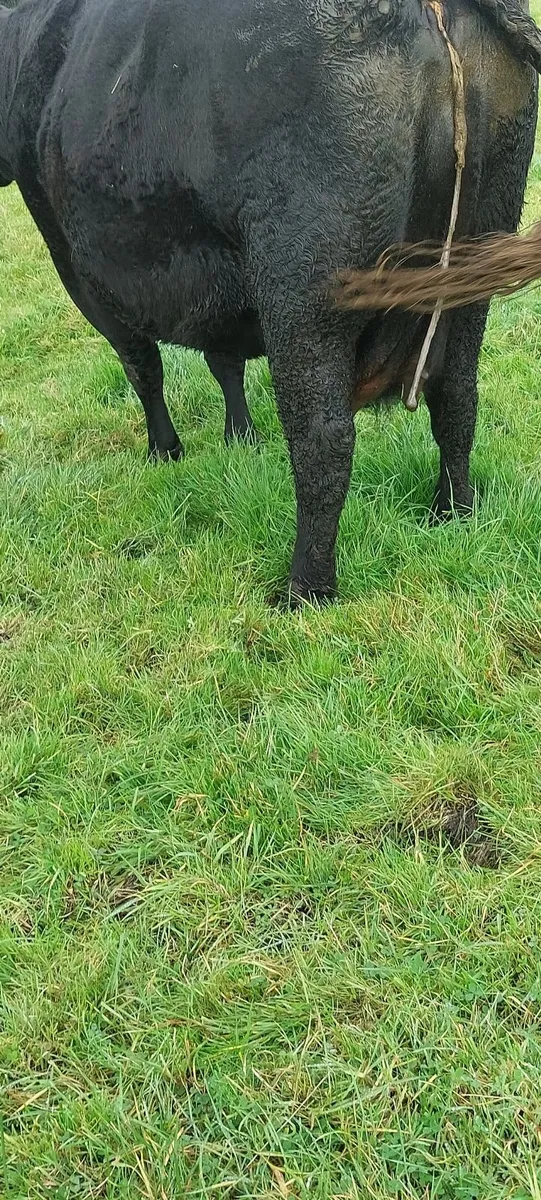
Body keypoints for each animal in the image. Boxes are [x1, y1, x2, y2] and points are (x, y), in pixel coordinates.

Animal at [0, 0, 540, 604]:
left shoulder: (85, 273)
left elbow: (144, 369)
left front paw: (164, 450)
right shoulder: (219, 287)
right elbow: (223, 359)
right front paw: (240, 437)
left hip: (305, 287)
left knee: (323, 438)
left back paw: (305, 588)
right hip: (477, 260)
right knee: (457, 396)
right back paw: (451, 514)